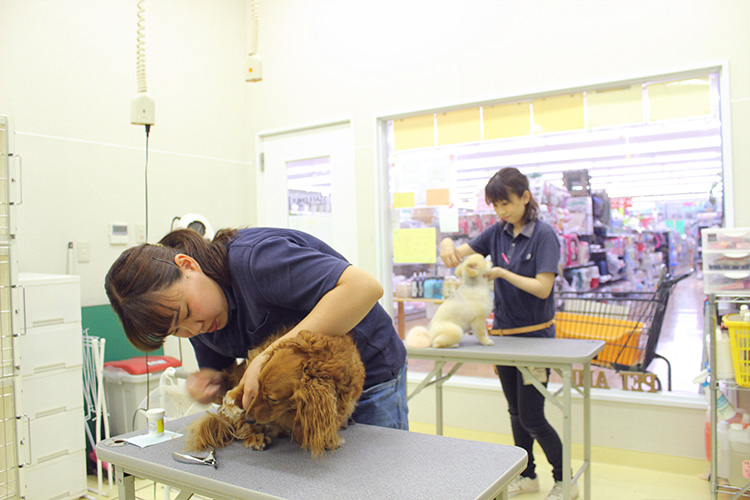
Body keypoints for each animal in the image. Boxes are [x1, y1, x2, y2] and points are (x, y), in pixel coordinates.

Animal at [187, 330, 366, 458]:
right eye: (257, 386)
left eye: (272, 399)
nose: (249, 418)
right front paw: (233, 399)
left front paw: (329, 440)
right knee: (239, 427)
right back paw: (253, 437)